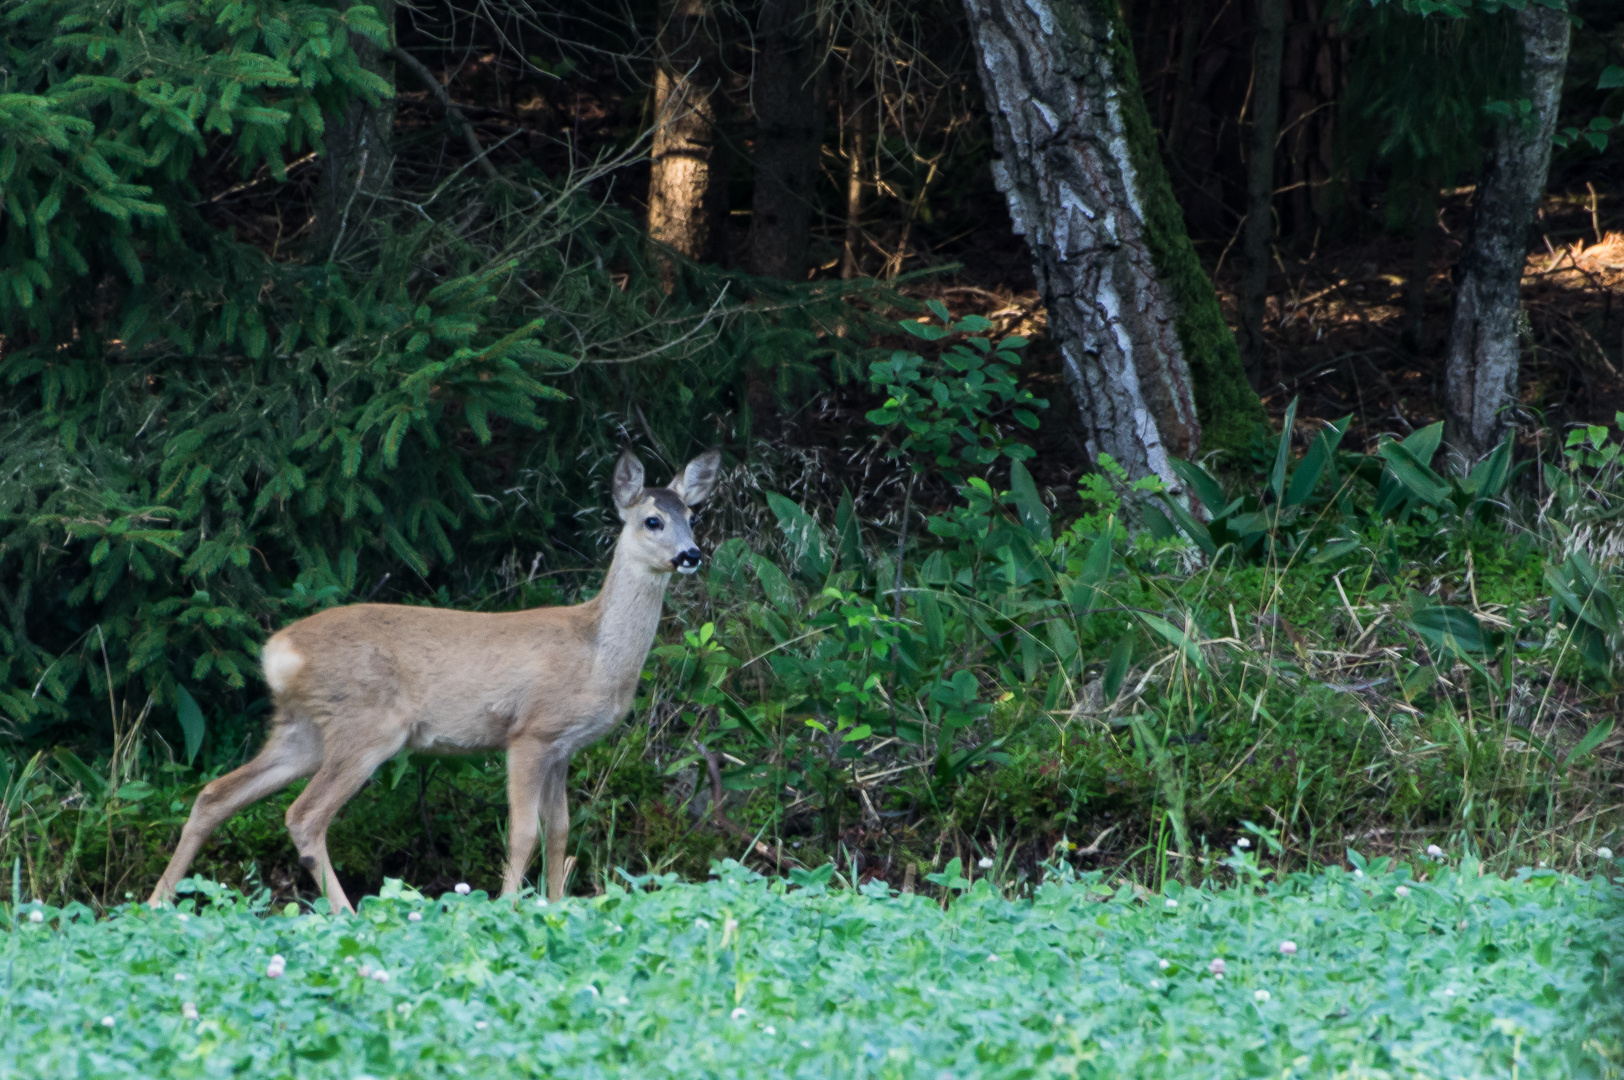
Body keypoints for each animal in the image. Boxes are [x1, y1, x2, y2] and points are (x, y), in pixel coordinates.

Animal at [149, 444, 721, 909]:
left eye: (692, 515)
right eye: (652, 521)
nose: (691, 555)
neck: (595, 651)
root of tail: (276, 651)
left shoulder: (563, 747)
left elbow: (559, 832)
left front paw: (556, 908)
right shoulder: (529, 733)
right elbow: (523, 833)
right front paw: (507, 909)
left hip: (303, 730)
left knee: (214, 794)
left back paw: (157, 904)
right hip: (368, 726)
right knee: (304, 816)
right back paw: (348, 914)